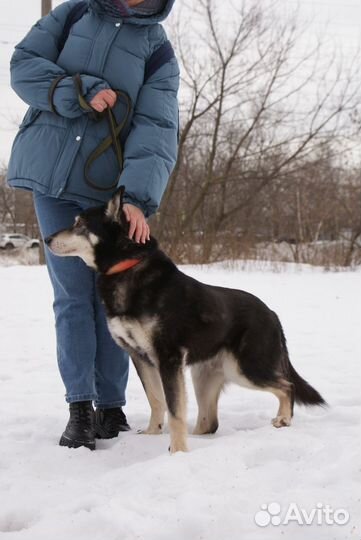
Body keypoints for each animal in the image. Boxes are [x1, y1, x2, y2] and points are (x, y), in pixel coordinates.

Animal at [45, 186, 326, 452]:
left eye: (79, 224)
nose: (46, 239)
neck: (126, 268)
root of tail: (273, 315)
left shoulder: (168, 358)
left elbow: (175, 410)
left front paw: (177, 452)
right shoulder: (141, 358)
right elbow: (156, 400)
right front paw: (152, 434)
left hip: (245, 369)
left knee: (287, 386)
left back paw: (283, 419)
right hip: (205, 377)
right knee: (210, 422)